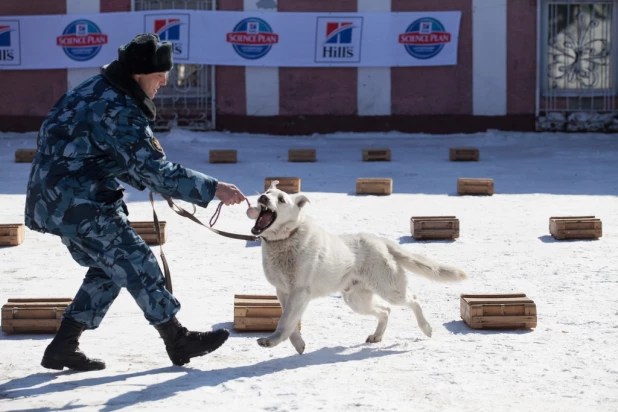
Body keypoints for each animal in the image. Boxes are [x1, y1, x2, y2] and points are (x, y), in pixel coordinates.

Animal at [247, 181, 466, 354]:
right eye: (267, 192)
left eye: (281, 199)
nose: (262, 197)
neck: (285, 239)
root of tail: (381, 242)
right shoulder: (283, 291)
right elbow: (291, 322)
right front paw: (299, 345)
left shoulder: (299, 292)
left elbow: (285, 322)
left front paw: (271, 341)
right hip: (357, 300)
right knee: (385, 311)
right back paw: (377, 336)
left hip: (389, 290)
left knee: (413, 300)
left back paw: (426, 328)